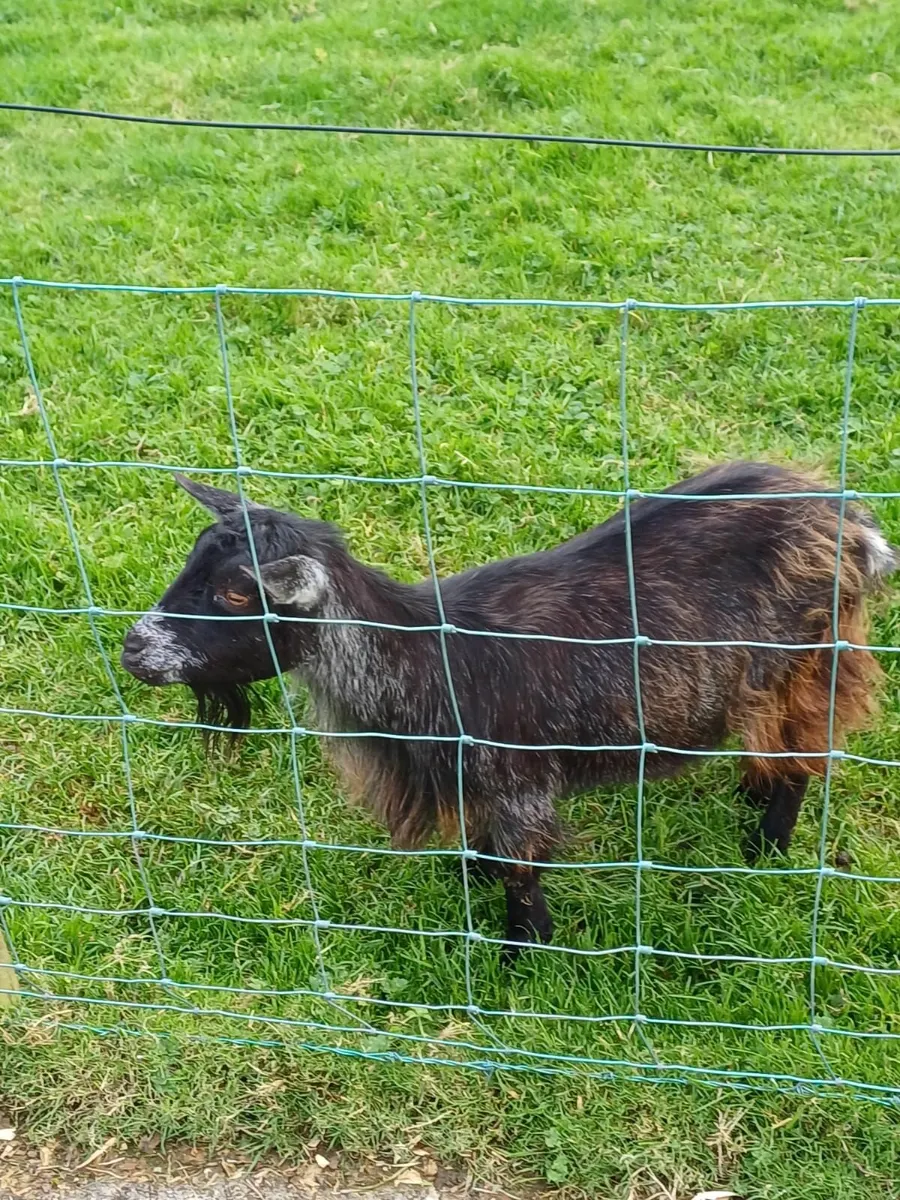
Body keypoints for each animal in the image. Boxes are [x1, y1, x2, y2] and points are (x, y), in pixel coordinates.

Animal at [121, 462, 896, 958]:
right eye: (191, 567)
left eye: (235, 594)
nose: (134, 648)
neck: (429, 656)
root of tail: (852, 522)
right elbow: (485, 846)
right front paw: (474, 876)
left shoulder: (519, 778)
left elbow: (523, 873)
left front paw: (518, 957)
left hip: (808, 657)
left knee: (803, 750)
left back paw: (765, 844)